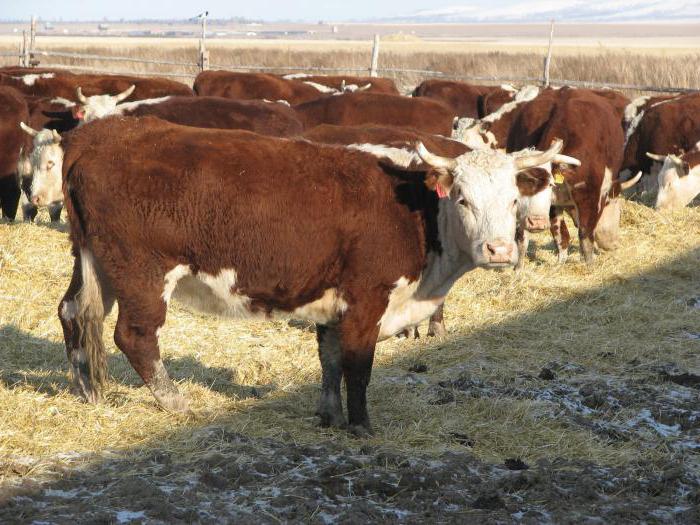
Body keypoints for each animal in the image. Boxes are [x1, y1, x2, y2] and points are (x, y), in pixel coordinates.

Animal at [56, 116, 556, 432]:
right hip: (142, 271)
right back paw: (176, 401)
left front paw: (329, 416)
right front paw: (361, 426)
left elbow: (329, 361)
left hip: (96, 261)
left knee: (75, 312)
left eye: (513, 199)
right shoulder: (366, 300)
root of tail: (96, 135)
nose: (499, 249)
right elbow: (358, 367)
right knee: (134, 335)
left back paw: (89, 390)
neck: (414, 210)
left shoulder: (333, 304)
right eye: (462, 199)